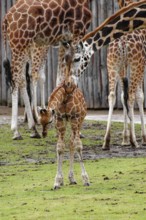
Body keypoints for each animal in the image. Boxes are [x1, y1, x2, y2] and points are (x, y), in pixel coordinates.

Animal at [38, 46, 89, 189]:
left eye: (49, 120)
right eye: (39, 121)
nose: (44, 134)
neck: (65, 95)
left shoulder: (74, 118)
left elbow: (78, 145)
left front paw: (86, 179)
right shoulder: (60, 119)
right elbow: (60, 148)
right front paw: (57, 181)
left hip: (79, 120)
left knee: (73, 142)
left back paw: (73, 178)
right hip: (68, 121)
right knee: (70, 142)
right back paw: (70, 178)